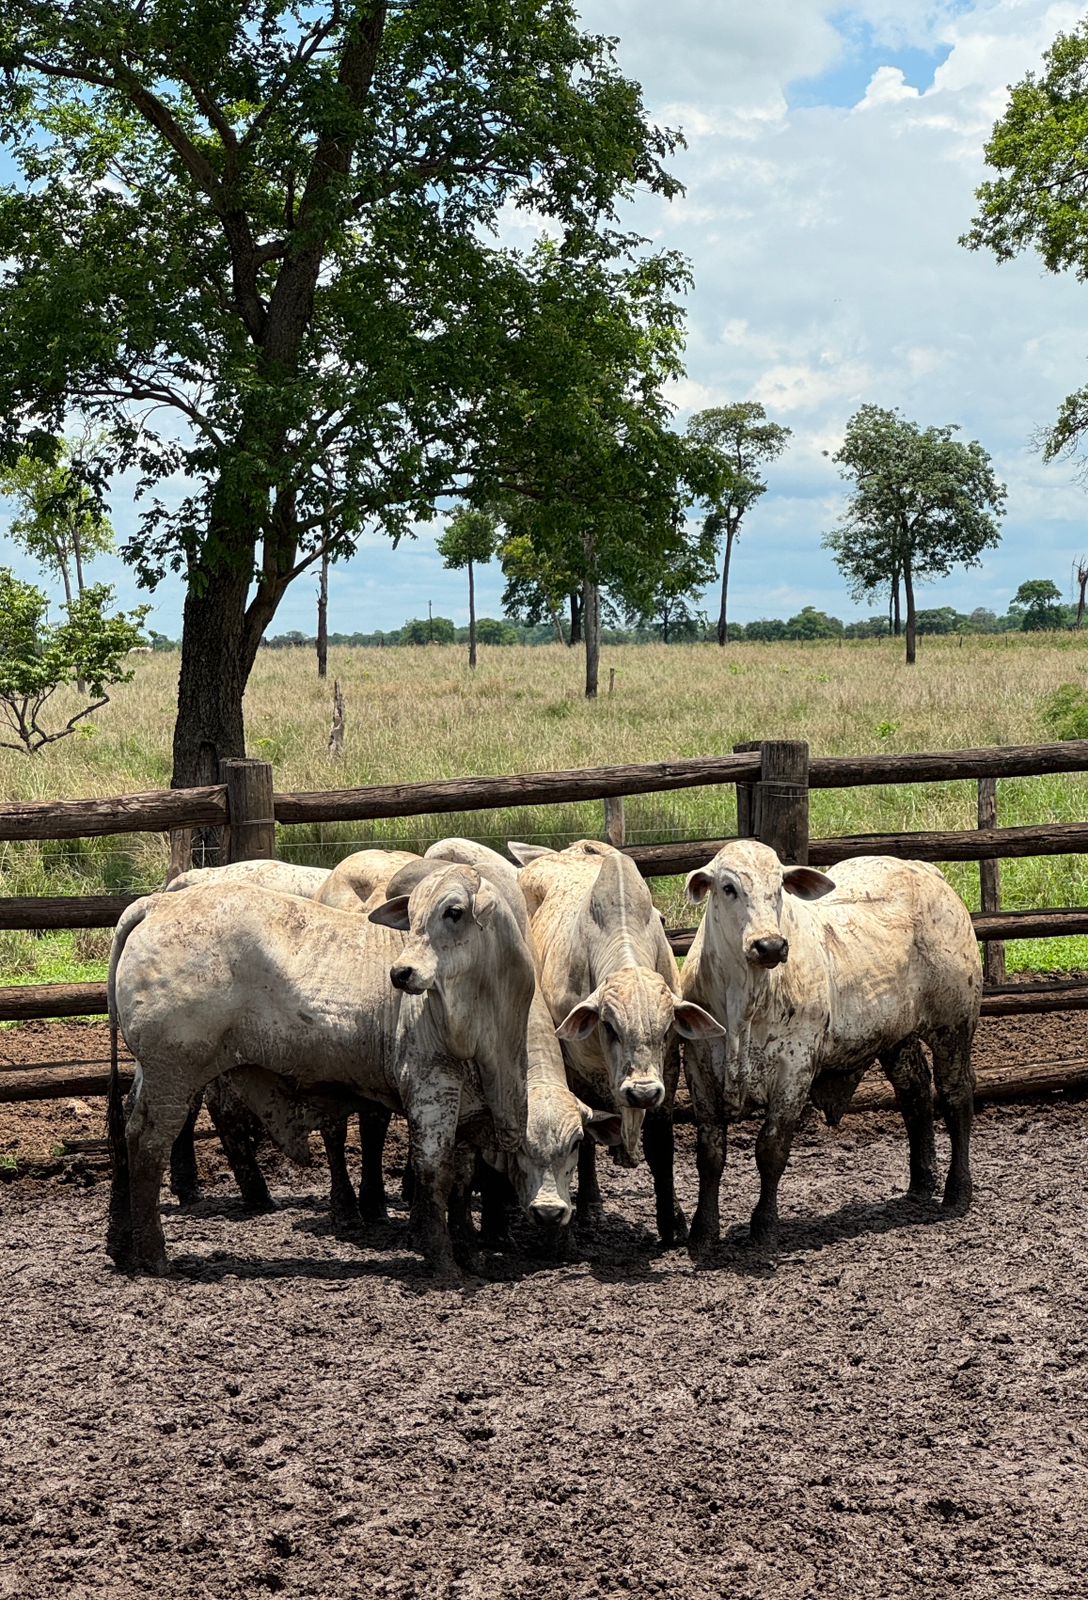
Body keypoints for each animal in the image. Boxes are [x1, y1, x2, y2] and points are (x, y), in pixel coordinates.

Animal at [107, 863, 535, 1279]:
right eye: (411, 916)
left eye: (454, 912)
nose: (401, 972)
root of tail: (156, 904)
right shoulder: (432, 1087)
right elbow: (435, 1172)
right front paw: (443, 1261)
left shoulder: (471, 1109)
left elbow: (462, 1179)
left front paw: (471, 1256)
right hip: (175, 1071)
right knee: (149, 1142)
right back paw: (154, 1255)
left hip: (153, 1071)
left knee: (127, 1130)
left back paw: (122, 1246)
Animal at [508, 840, 724, 1245]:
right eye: (608, 1026)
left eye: (666, 1027)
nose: (640, 1092)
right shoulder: (575, 1066)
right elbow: (586, 1139)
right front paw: (587, 1209)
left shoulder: (667, 1068)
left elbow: (660, 1145)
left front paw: (672, 1220)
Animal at [678, 839, 981, 1256]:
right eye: (728, 887)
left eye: (780, 888)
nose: (769, 945)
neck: (744, 1002)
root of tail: (925, 870)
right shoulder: (699, 1067)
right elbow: (710, 1154)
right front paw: (702, 1232)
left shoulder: (794, 1069)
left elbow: (771, 1150)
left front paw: (764, 1229)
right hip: (897, 1036)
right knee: (915, 1093)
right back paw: (921, 1183)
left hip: (954, 1024)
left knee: (956, 1096)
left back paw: (957, 1190)